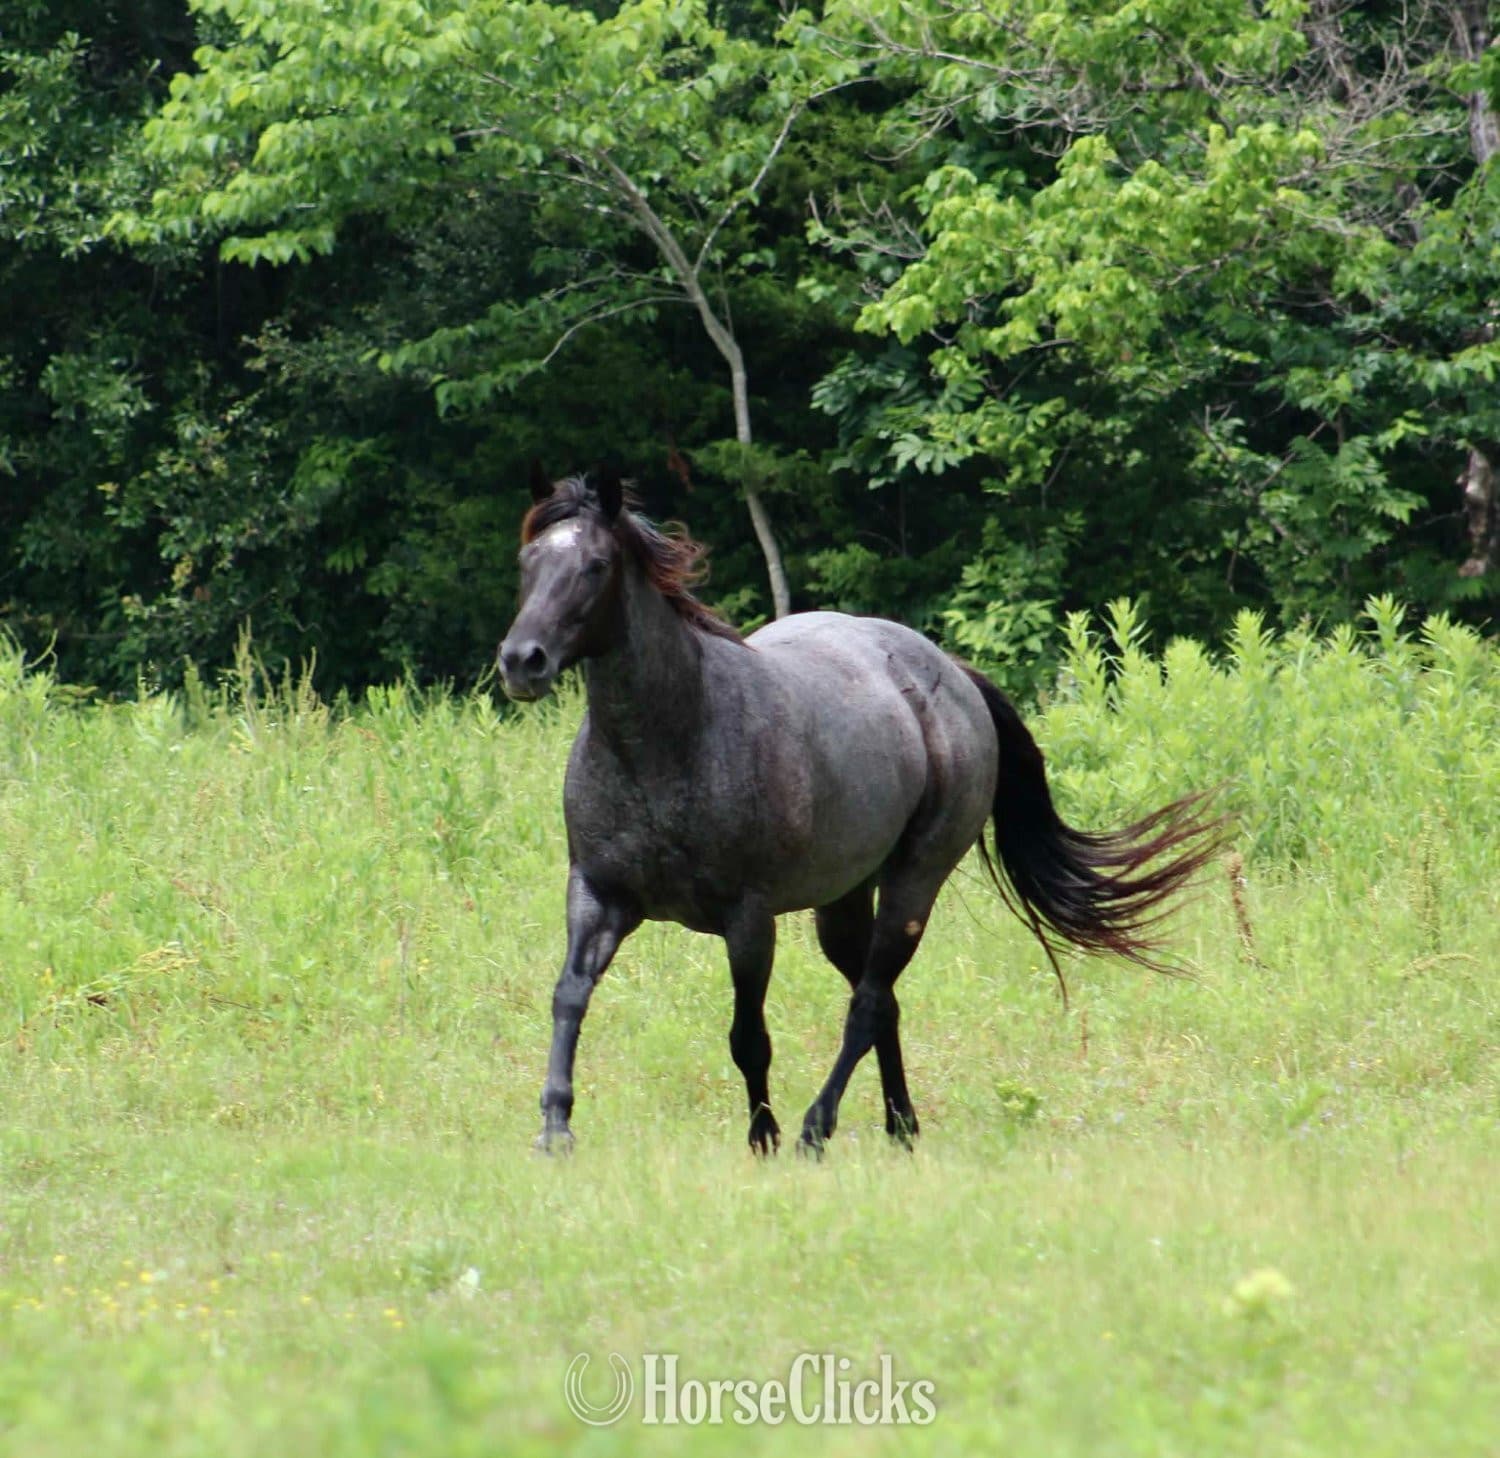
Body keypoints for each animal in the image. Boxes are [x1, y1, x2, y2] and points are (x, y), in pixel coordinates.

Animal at [498, 465, 1221, 1155]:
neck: (667, 743)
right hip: (843, 901)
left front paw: (764, 1138)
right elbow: (569, 996)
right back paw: (901, 1126)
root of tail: (951, 674)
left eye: (595, 565)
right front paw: (555, 1128)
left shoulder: (748, 919)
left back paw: (818, 1129)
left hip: (913, 884)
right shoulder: (598, 896)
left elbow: (748, 1037)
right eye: (528, 561)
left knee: (869, 1004)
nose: (521, 661)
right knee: (883, 1001)